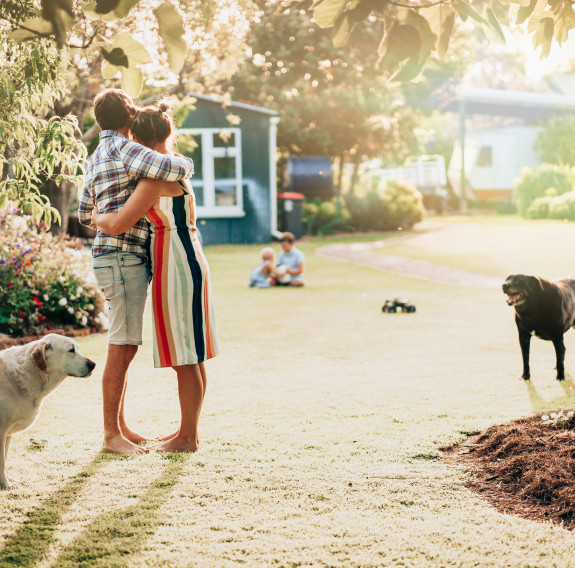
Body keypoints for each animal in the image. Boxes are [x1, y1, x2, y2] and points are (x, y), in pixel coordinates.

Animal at [0, 332, 95, 488]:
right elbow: (2, 462)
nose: (93, 365)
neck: (29, 371)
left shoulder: (7, 434)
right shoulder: (2, 432)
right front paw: (6, 485)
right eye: (71, 350)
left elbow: (5, 459)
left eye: (78, 348)